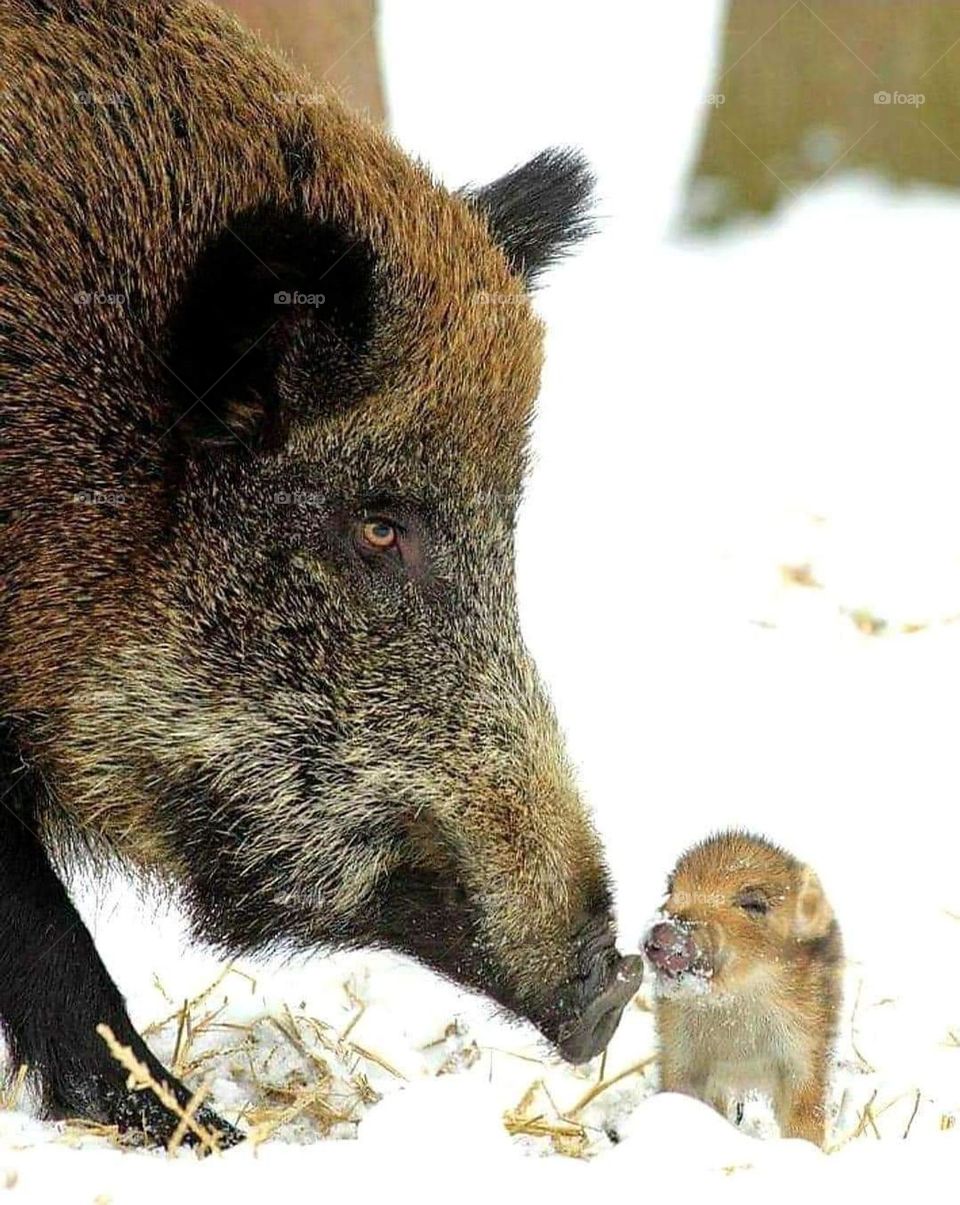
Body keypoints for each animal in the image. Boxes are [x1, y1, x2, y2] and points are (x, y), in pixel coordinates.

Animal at [643, 832, 842, 1147]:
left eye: (753, 905)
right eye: (670, 889)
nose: (664, 931)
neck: (734, 1001)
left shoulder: (803, 1051)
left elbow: (804, 1117)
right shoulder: (679, 1050)